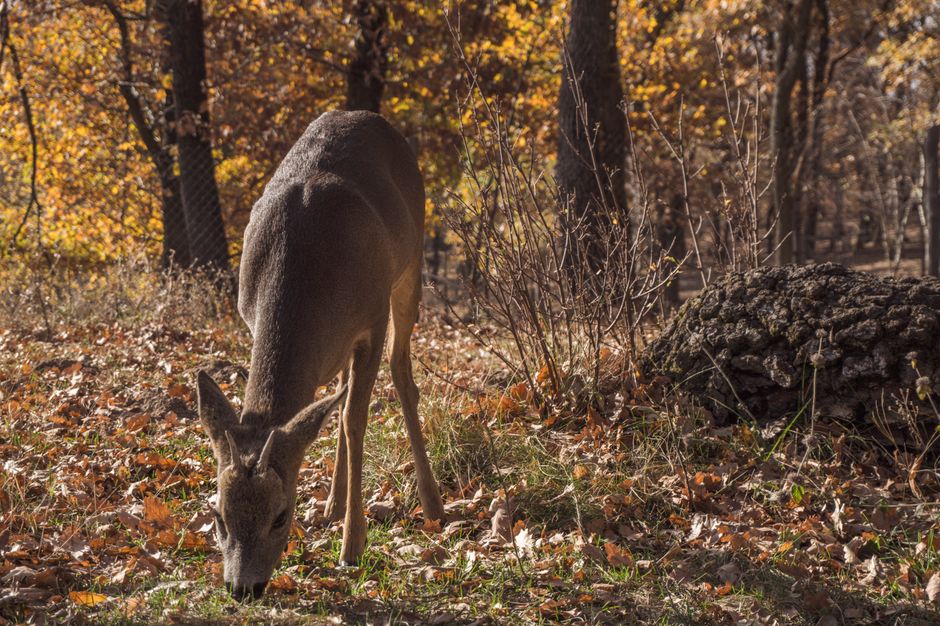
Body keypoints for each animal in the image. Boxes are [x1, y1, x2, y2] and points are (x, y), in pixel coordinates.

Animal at [195, 110, 446, 600]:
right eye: (218, 516)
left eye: (281, 516)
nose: (242, 587)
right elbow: (333, 413)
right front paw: (340, 515)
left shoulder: (371, 319)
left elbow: (353, 419)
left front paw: (353, 544)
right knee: (342, 390)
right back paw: (332, 503)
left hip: (410, 267)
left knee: (402, 373)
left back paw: (432, 502)